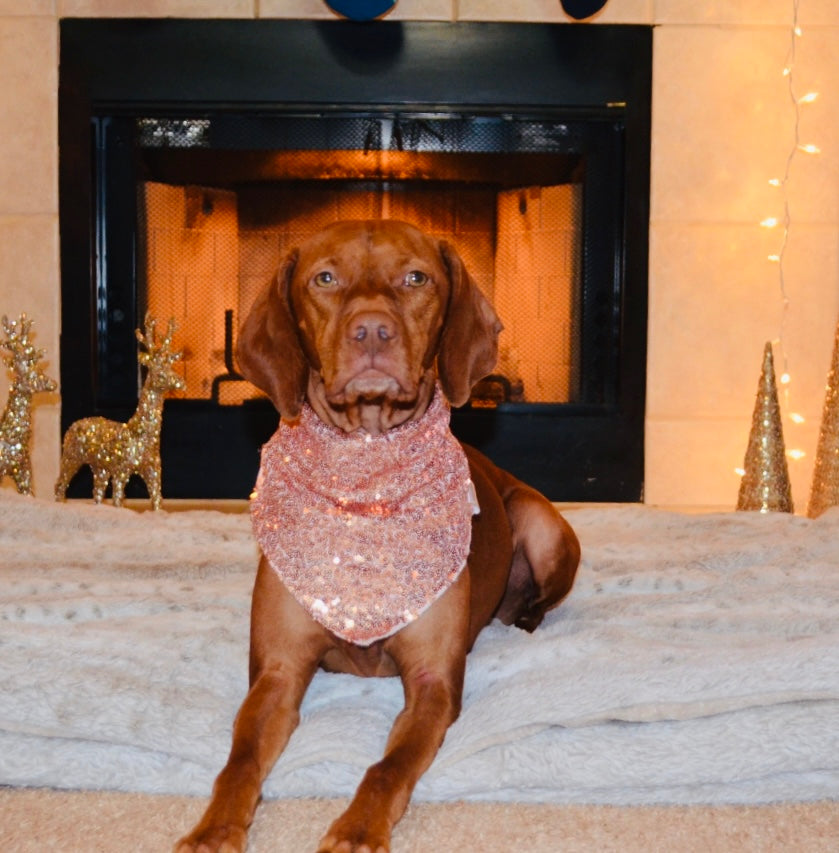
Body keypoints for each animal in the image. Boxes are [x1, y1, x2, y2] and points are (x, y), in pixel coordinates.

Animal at [176, 220, 584, 852]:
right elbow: (240, 760)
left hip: (542, 525)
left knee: (536, 598)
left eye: (416, 277)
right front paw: (214, 828)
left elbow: (387, 768)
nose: (372, 330)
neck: (366, 468)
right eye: (324, 278)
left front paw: (357, 829)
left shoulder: (433, 681)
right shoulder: (279, 672)